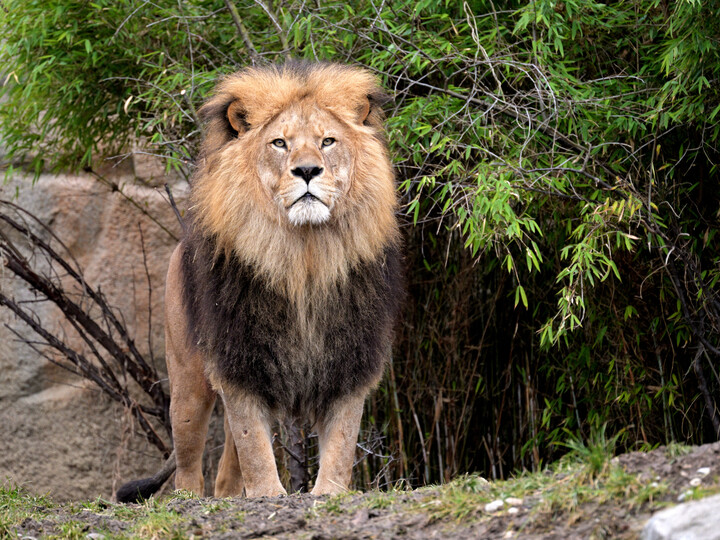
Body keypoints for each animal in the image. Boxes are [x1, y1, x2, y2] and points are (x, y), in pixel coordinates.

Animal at [116, 61, 402, 501]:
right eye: (280, 143)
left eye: (328, 141)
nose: (307, 170)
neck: (305, 257)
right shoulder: (239, 358)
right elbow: (254, 446)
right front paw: (269, 493)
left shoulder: (350, 360)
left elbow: (340, 443)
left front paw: (328, 493)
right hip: (187, 382)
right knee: (188, 462)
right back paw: (189, 499)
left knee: (226, 470)